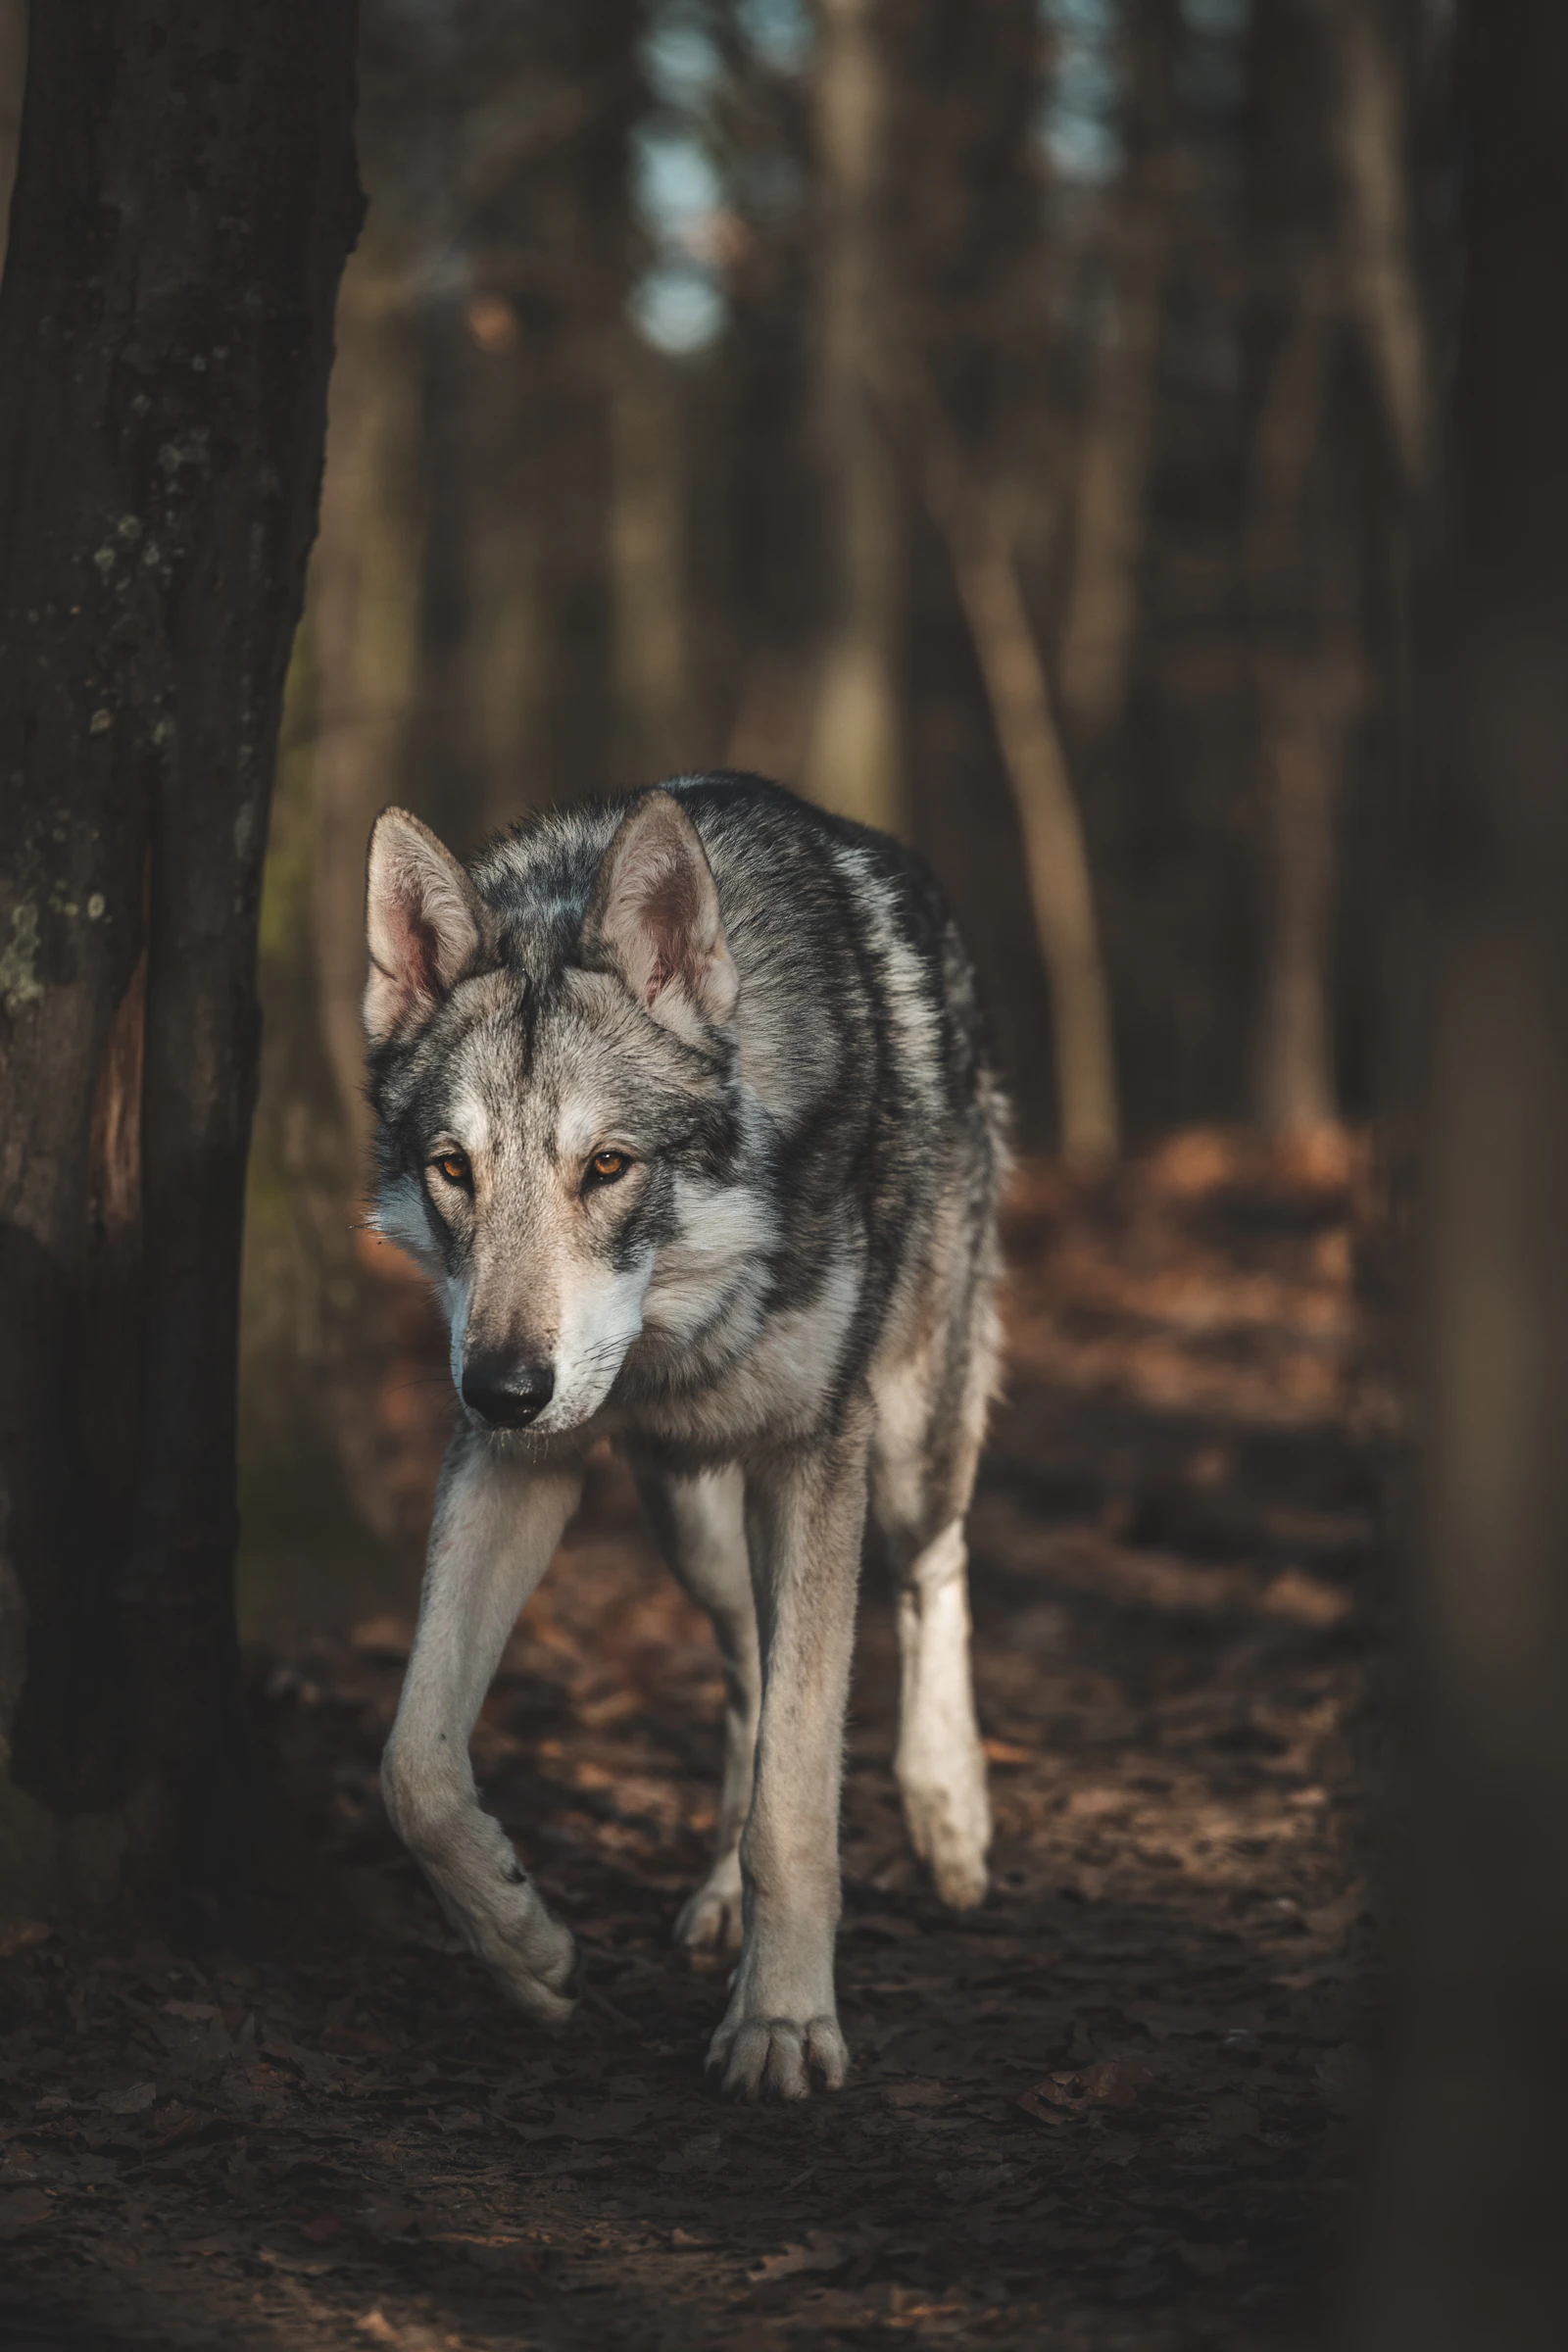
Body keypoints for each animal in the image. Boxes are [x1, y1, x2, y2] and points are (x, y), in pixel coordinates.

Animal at [362, 772, 1007, 2102]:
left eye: (608, 1165)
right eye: (452, 1168)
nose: (503, 1385)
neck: (676, 1325)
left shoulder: (816, 1455)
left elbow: (798, 1803)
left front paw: (784, 2024)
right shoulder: (520, 1464)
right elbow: (415, 1769)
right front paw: (528, 1953)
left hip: (903, 1451)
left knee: (936, 1570)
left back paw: (950, 1816)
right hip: (694, 1528)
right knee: (751, 1674)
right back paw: (716, 1902)